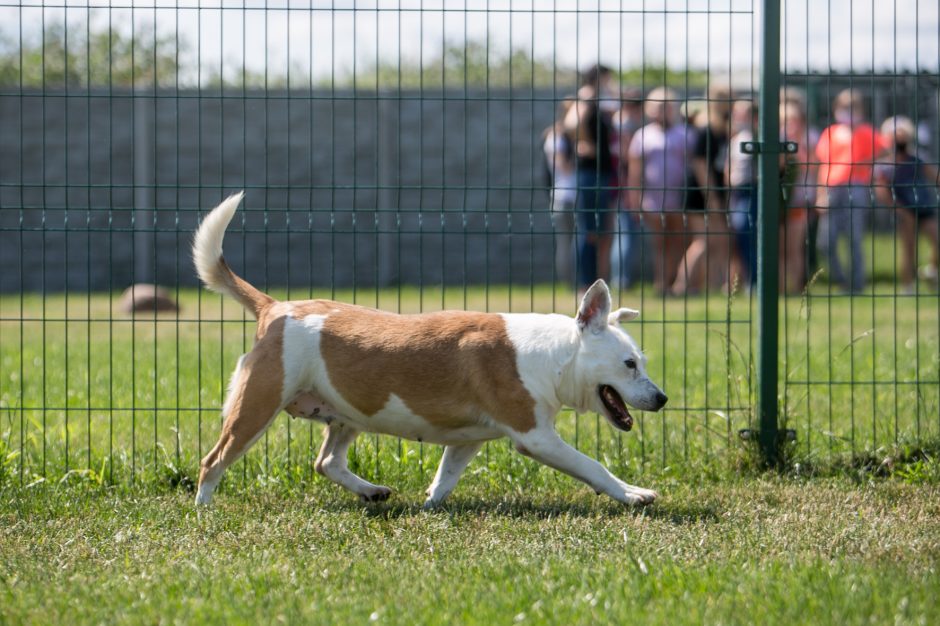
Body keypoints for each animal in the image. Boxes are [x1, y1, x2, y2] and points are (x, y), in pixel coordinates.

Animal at [191, 191, 664, 508]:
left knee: (326, 463)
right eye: (629, 364)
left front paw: (432, 506)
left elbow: (445, 476)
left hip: (346, 415)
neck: (553, 356)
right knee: (213, 461)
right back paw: (204, 509)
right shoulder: (537, 437)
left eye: (642, 362)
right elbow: (593, 466)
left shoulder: (469, 439)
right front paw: (632, 494)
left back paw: (371, 492)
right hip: (256, 405)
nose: (661, 398)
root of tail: (275, 307)